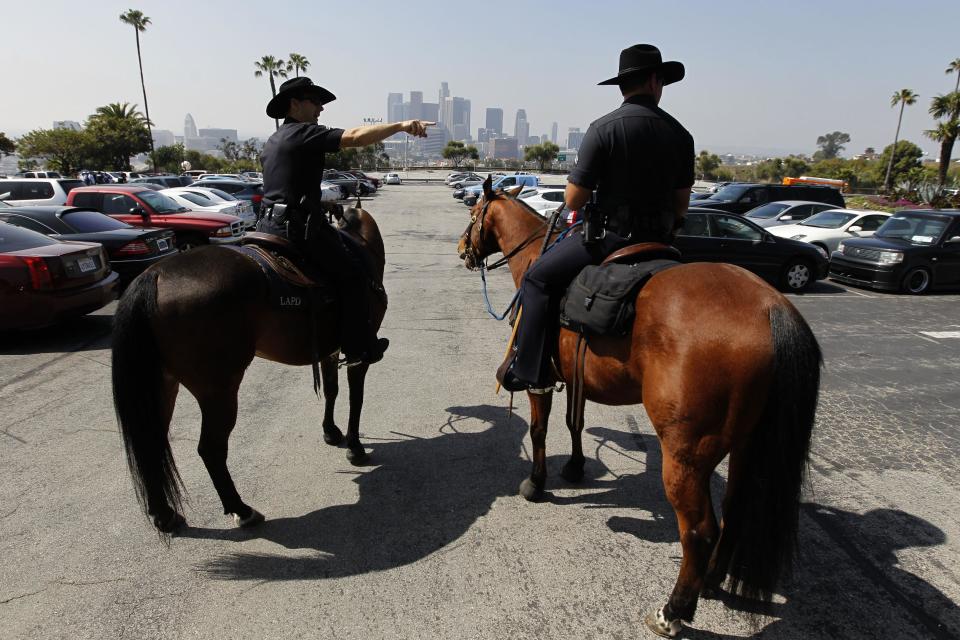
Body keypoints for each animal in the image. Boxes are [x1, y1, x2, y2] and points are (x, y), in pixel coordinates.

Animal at [109, 205, 386, 536]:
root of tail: (155, 274)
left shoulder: (330, 349)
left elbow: (332, 390)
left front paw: (331, 432)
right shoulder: (359, 351)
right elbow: (357, 397)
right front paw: (355, 448)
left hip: (162, 384)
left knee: (151, 442)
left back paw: (164, 516)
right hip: (218, 389)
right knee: (211, 449)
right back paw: (241, 510)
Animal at [460, 185, 824, 636]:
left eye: (475, 212)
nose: (462, 248)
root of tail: (772, 307)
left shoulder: (539, 378)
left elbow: (540, 430)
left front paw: (536, 483)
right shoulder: (577, 375)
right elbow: (575, 423)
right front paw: (576, 467)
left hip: (686, 455)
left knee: (700, 531)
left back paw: (673, 612)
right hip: (747, 445)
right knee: (735, 512)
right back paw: (711, 581)